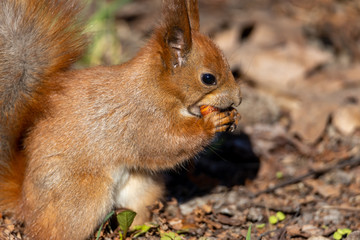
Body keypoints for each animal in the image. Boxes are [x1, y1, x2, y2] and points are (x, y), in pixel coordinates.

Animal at [0, 0, 242, 240]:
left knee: (135, 214)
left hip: (141, 188)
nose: (238, 99)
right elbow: (166, 143)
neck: (156, 86)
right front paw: (211, 123)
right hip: (83, 200)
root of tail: (26, 205)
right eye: (208, 78)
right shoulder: (143, 118)